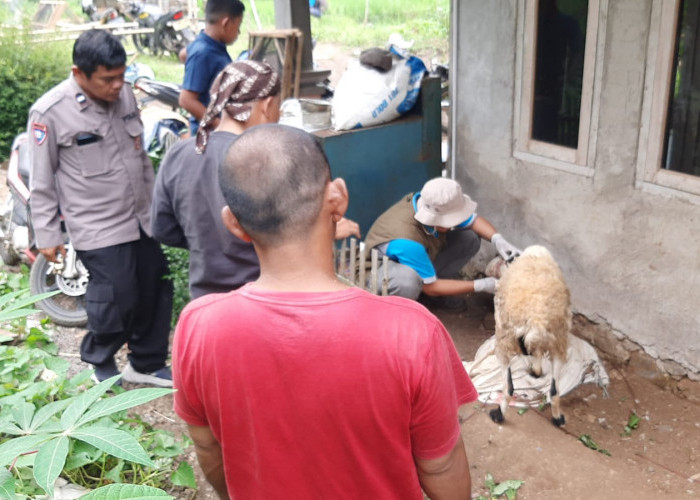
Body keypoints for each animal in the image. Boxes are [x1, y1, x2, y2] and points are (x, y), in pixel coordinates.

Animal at [490, 245, 572, 426]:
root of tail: (537, 320)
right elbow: (537, 355)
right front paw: (536, 371)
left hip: (503, 342)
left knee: (509, 388)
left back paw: (498, 414)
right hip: (559, 343)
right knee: (554, 391)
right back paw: (558, 418)